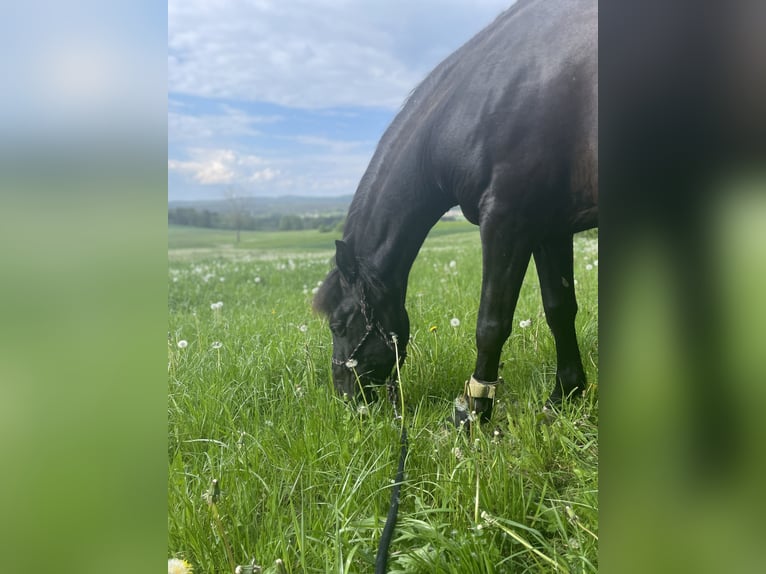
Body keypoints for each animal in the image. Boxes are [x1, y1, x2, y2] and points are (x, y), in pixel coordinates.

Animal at [314, 0, 600, 424]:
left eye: (339, 323)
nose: (348, 400)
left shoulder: (506, 222)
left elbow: (491, 325)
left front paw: (474, 412)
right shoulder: (550, 228)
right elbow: (559, 309)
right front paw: (563, 396)